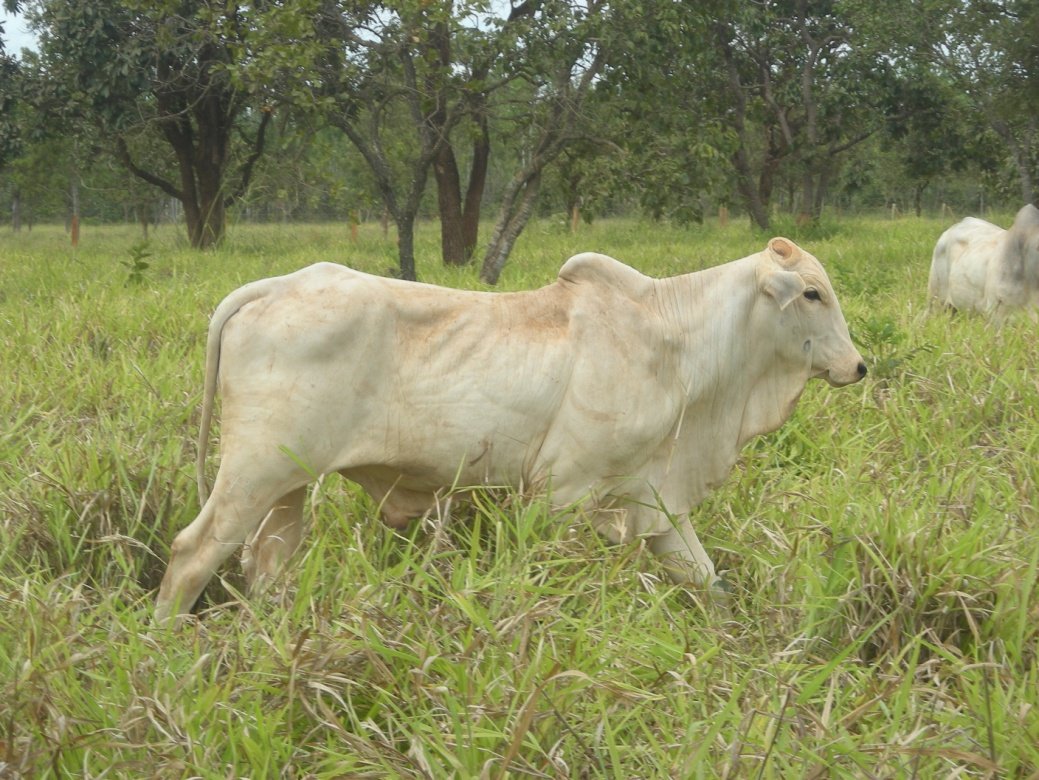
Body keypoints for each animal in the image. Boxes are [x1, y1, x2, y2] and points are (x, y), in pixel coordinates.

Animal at [155, 237, 868, 623]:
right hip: (253, 471)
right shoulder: (562, 492)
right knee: (193, 553)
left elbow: (709, 580)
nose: (858, 366)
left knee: (266, 562)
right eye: (812, 294)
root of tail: (276, 286)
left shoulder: (657, 500)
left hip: (289, 486)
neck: (677, 343)